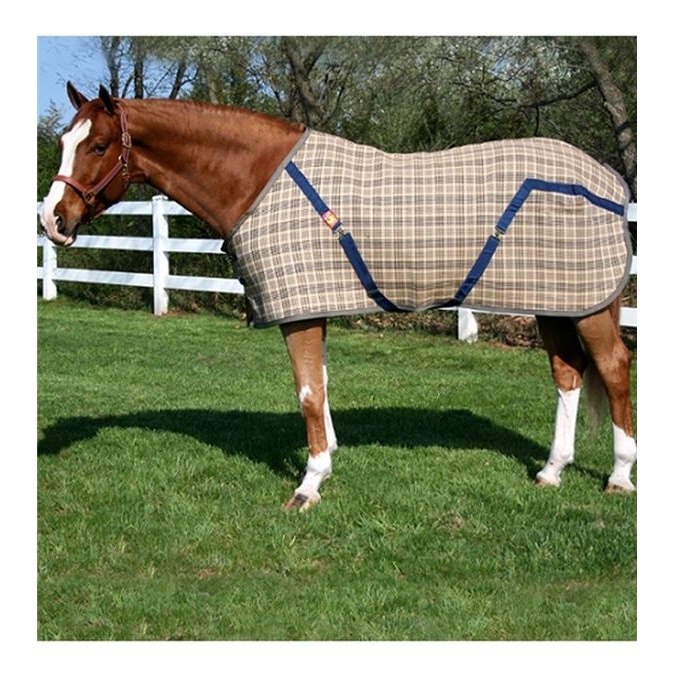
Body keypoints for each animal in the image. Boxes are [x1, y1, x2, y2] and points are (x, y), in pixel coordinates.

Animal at [39, 83, 637, 511]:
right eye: (64, 143)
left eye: (98, 146)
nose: (52, 220)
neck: (257, 180)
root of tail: (610, 181)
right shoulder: (313, 305)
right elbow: (321, 387)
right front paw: (325, 463)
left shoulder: (299, 313)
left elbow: (307, 393)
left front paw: (308, 486)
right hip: (556, 303)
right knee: (568, 373)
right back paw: (551, 472)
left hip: (589, 307)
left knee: (612, 368)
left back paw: (619, 476)